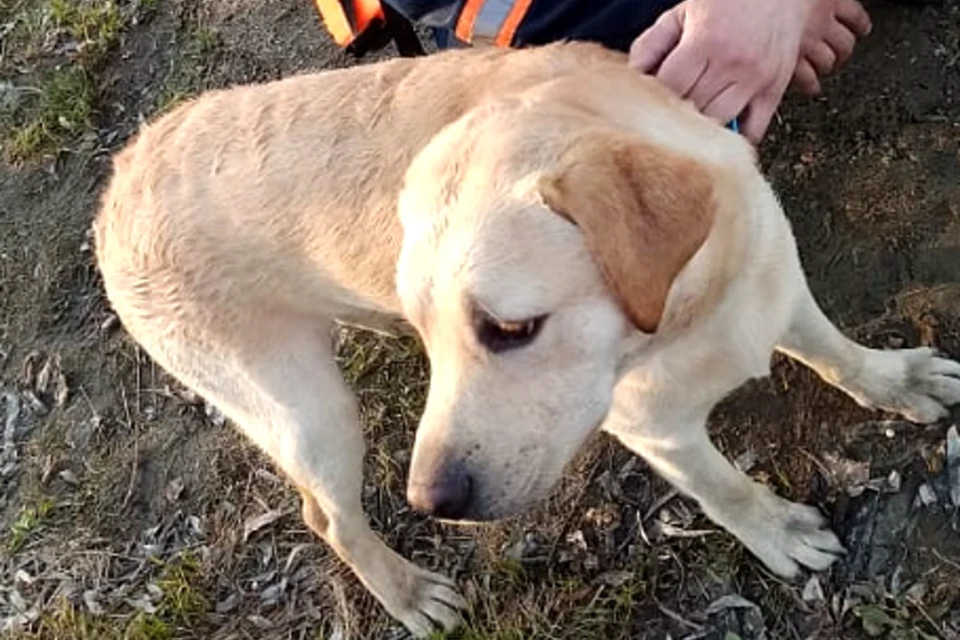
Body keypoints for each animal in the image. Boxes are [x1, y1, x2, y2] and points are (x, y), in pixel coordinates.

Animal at [94, 42, 960, 636]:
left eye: (509, 329)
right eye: (431, 335)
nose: (431, 502)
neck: (693, 314)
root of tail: (120, 173)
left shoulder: (776, 285)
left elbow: (836, 353)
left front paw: (894, 382)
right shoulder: (659, 431)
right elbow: (725, 488)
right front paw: (775, 529)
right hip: (307, 413)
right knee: (326, 516)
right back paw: (409, 592)